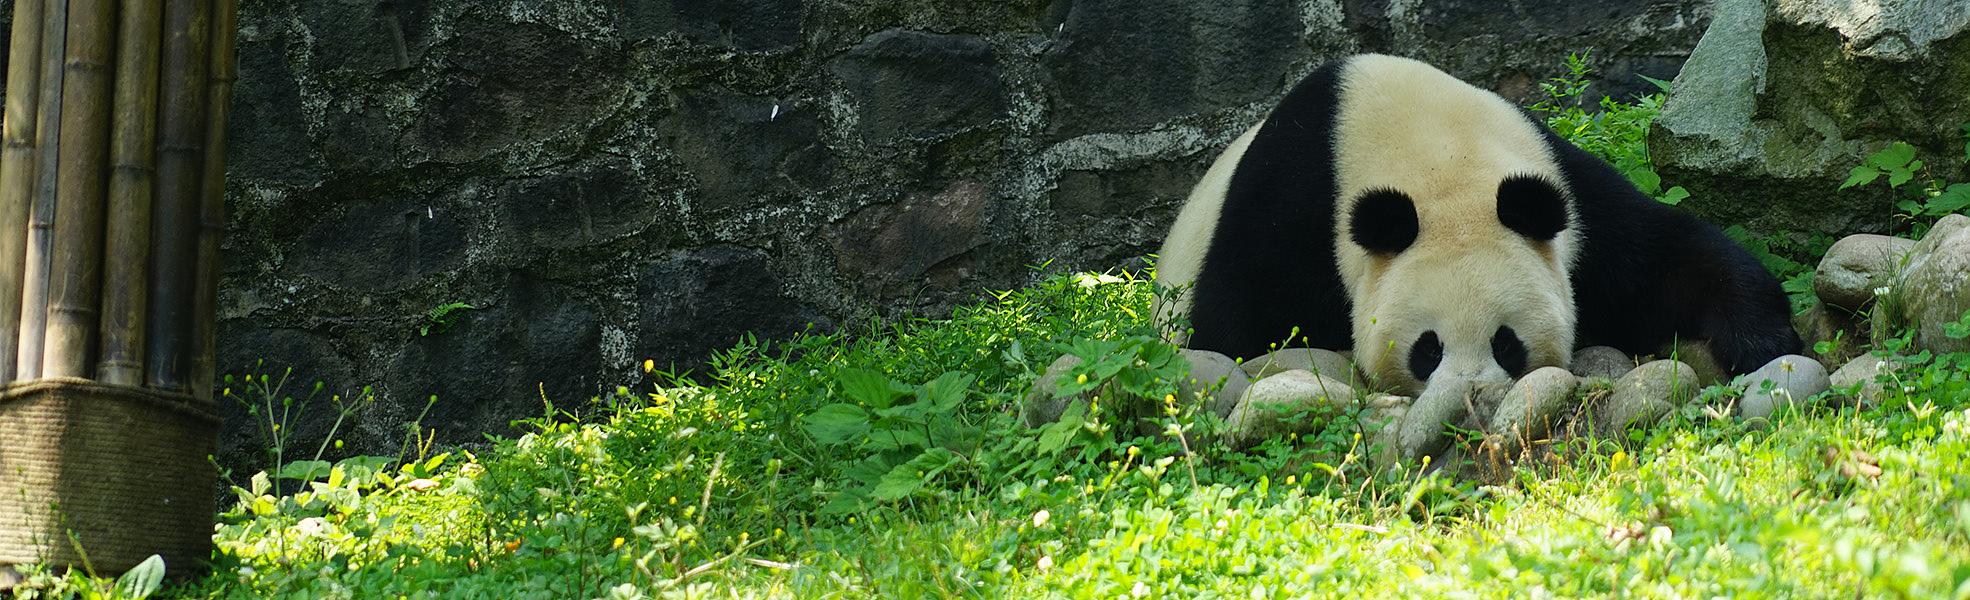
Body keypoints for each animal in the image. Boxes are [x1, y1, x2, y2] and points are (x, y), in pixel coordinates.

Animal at [1153, 54, 1801, 395]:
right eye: (1427, 348)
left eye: (1506, 342)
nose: (1474, 396)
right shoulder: (1290, 208)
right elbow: (1230, 325)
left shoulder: (1569, 195)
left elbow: (1669, 260)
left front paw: (1764, 345)